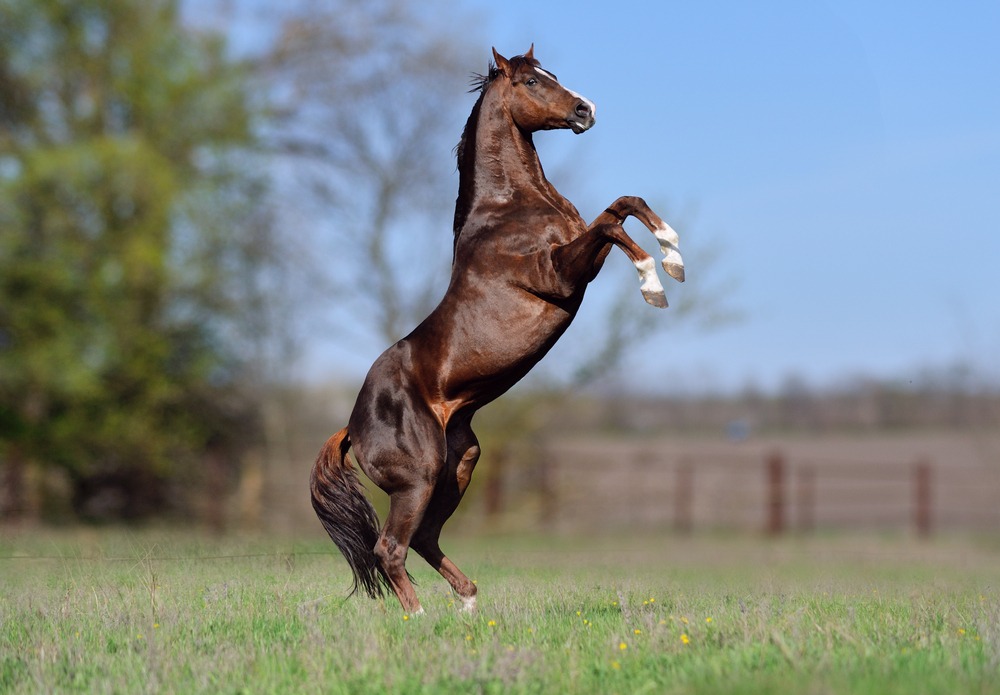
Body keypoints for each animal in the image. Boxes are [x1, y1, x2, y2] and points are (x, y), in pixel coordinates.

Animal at [311, 46, 685, 614]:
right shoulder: (560, 274)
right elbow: (610, 223)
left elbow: (625, 204)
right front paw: (654, 283)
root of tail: (352, 427)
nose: (586, 110)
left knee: (425, 539)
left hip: (460, 463)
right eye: (532, 81)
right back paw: (420, 619)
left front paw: (673, 250)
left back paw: (468, 607)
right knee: (390, 547)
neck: (508, 211)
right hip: (419, 477)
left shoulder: (580, 264)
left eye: (552, 74)